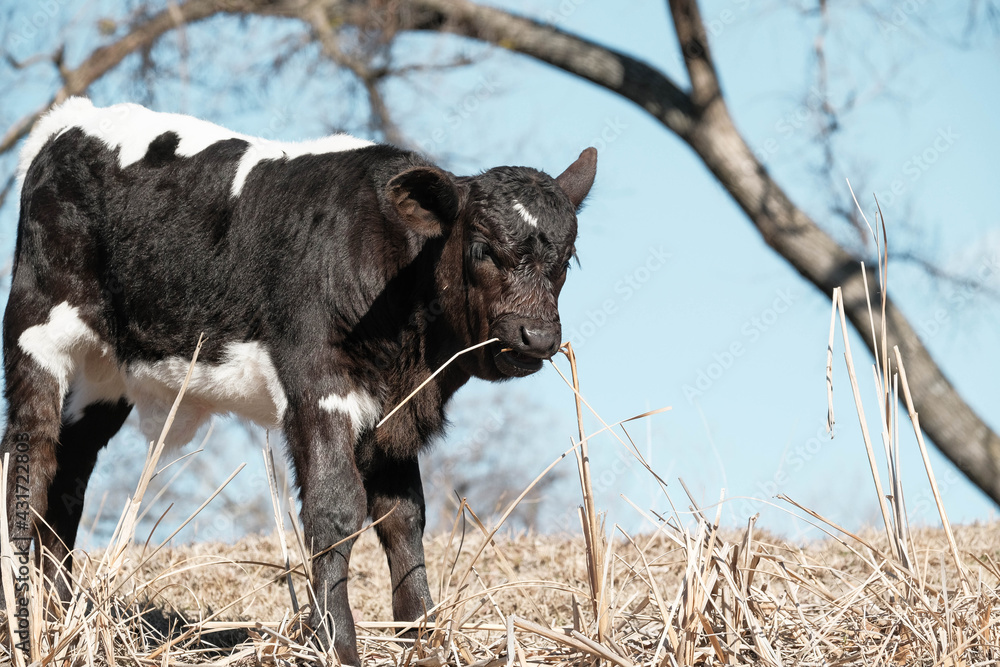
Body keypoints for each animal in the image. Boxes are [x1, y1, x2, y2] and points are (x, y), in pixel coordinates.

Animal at [1, 97, 596, 664]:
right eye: (481, 249)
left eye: (567, 259)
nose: (536, 337)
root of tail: (69, 119)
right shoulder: (316, 385)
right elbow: (335, 510)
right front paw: (338, 645)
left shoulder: (393, 412)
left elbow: (404, 517)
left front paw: (422, 638)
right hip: (38, 330)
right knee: (29, 462)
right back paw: (24, 622)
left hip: (105, 377)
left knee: (69, 480)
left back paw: (60, 619)